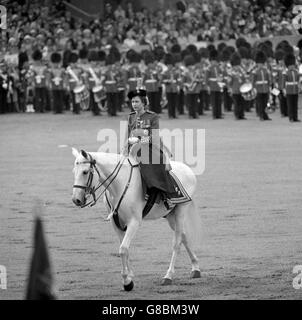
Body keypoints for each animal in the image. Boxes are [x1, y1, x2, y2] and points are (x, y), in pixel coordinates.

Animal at [72, 148, 202, 290]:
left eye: (85, 172)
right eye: (74, 171)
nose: (76, 199)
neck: (119, 184)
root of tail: (188, 170)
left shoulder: (133, 222)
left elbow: (123, 249)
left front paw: (127, 282)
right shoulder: (116, 223)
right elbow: (125, 248)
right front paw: (130, 276)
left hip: (180, 211)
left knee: (177, 243)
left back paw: (168, 276)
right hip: (170, 216)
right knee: (184, 237)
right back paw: (195, 268)